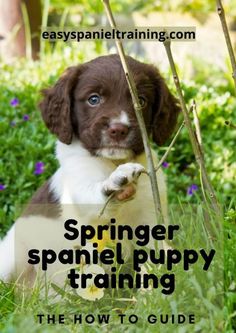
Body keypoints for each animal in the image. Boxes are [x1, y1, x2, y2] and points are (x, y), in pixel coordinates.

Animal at [0, 55, 180, 286]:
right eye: (93, 99)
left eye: (141, 100)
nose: (118, 130)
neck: (112, 162)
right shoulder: (78, 191)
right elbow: (94, 196)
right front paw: (116, 183)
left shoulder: (150, 213)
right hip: (11, 258)